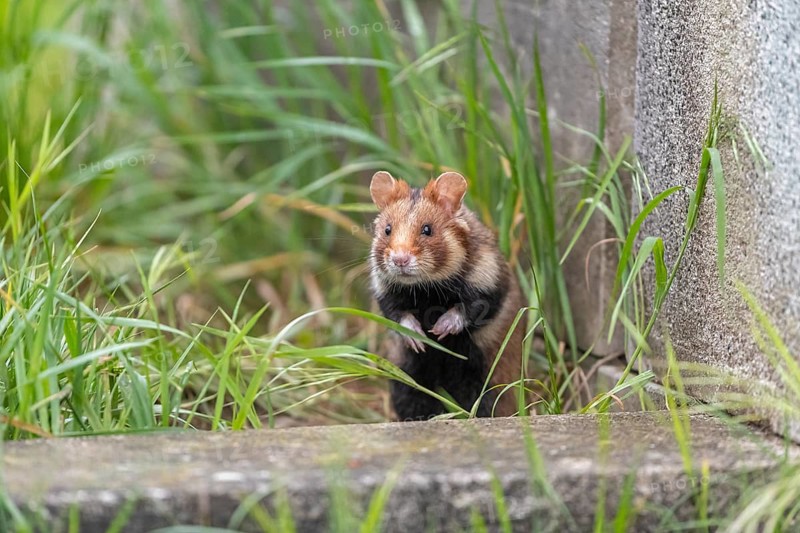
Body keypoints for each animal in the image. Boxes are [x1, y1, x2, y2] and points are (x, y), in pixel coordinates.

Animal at [368, 170, 525, 420]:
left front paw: (439, 329)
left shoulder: (491, 281)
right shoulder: (386, 292)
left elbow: (471, 308)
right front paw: (419, 339)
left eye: (427, 229)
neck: (426, 289)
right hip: (407, 380)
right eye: (387, 229)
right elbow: (397, 314)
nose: (400, 260)